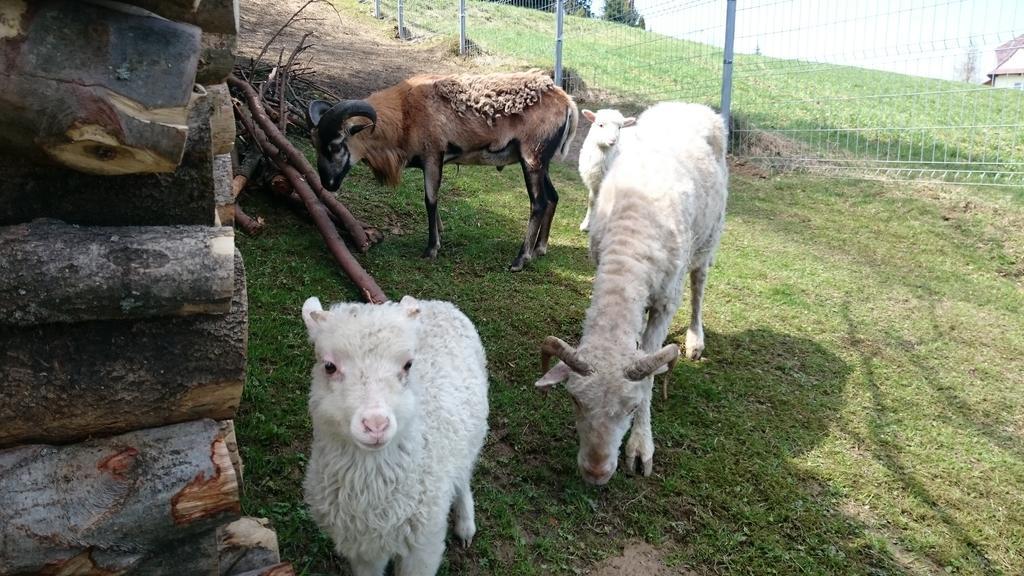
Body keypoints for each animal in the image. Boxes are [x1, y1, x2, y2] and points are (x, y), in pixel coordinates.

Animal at [299, 295, 487, 573]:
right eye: (329, 366)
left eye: (408, 364)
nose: (376, 424)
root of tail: (437, 302)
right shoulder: (363, 549)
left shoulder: (423, 547)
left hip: (473, 436)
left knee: (463, 476)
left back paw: (465, 524)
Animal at [303, 71, 581, 268]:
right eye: (314, 143)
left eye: (336, 145)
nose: (327, 183)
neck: (406, 112)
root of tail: (567, 102)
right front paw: (440, 234)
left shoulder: (433, 156)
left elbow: (430, 200)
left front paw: (431, 249)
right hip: (542, 164)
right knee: (553, 198)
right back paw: (540, 249)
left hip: (532, 159)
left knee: (539, 203)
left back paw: (521, 259)